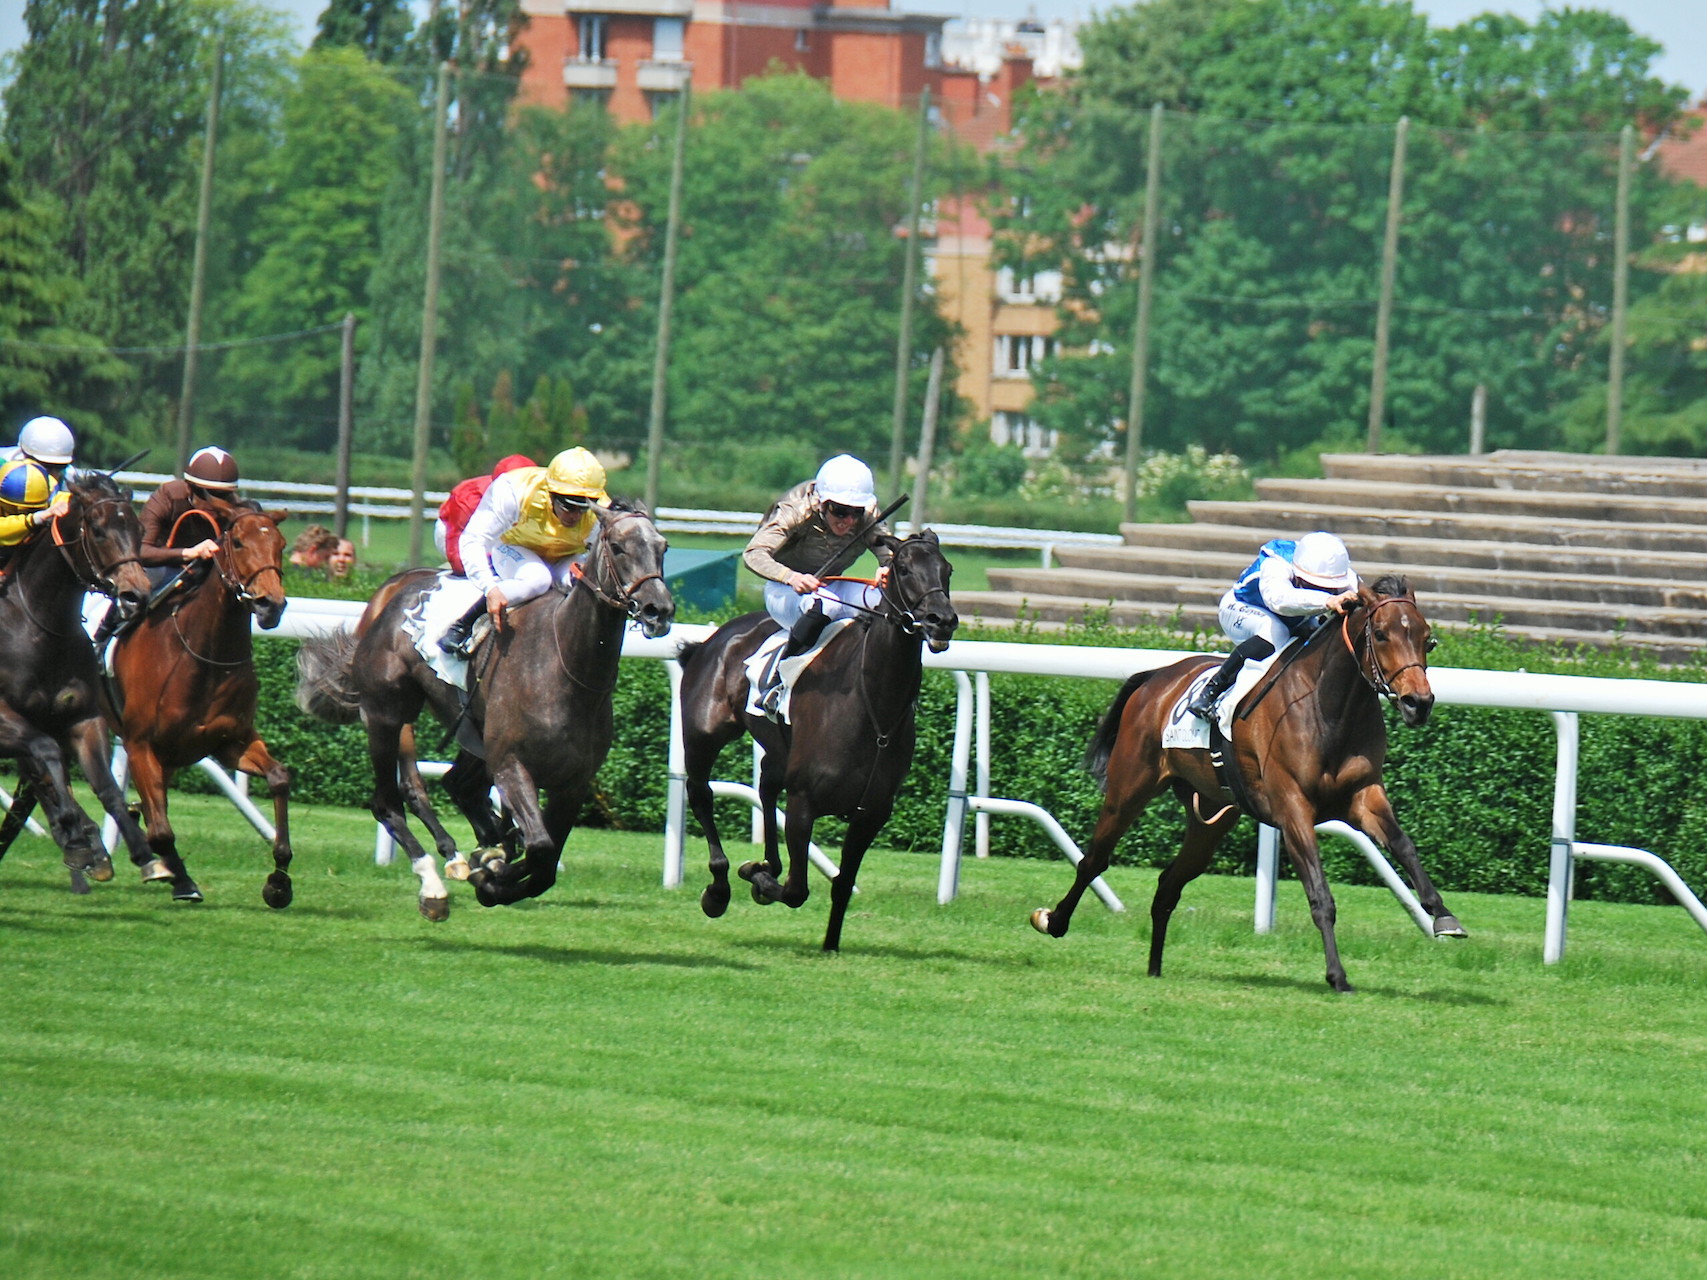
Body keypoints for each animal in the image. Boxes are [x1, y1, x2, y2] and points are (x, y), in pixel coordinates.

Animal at [0, 467, 155, 894]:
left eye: (138, 528)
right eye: (98, 531)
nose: (136, 596)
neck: (39, 627)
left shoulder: (82, 718)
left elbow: (107, 789)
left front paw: (143, 853)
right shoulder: (6, 720)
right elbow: (47, 754)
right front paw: (77, 833)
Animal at [104, 494, 290, 907]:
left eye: (281, 545)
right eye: (238, 542)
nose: (271, 605)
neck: (203, 655)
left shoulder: (229, 740)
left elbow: (279, 778)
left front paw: (280, 880)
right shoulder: (140, 743)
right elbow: (160, 829)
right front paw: (182, 881)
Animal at [293, 501, 672, 921]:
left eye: (663, 547)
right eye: (619, 548)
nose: (658, 610)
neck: (567, 669)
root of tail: (392, 597)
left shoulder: (573, 783)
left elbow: (545, 864)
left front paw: (493, 869)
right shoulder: (510, 764)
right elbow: (539, 847)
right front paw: (492, 871)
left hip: (470, 732)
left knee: (456, 784)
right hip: (386, 713)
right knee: (390, 801)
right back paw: (434, 883)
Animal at [672, 529, 955, 955]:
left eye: (947, 569)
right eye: (904, 569)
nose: (942, 620)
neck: (873, 704)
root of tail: (715, 638)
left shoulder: (871, 813)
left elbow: (841, 884)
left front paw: (830, 944)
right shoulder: (804, 801)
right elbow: (796, 890)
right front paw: (757, 878)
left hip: (777, 748)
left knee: (766, 785)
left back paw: (766, 863)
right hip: (704, 732)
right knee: (701, 792)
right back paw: (719, 889)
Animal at [1031, 576, 1461, 996]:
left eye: (1427, 637)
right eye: (1381, 633)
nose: (1418, 702)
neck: (1328, 708)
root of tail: (1156, 677)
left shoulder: (1364, 795)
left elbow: (1404, 845)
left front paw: (1443, 917)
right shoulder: (1292, 809)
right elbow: (1320, 894)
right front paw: (1337, 976)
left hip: (1210, 818)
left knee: (1170, 883)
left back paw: (1154, 968)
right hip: (1129, 788)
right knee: (1094, 860)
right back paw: (1053, 921)